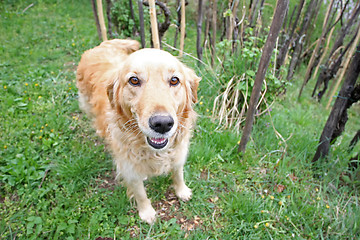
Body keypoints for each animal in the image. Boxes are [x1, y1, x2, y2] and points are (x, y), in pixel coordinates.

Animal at [76, 39, 200, 223]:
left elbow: (178, 173)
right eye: (134, 80)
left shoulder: (179, 151)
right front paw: (147, 213)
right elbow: (140, 193)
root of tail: (103, 44)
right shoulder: (129, 168)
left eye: (174, 80)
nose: (162, 124)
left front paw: (182, 191)